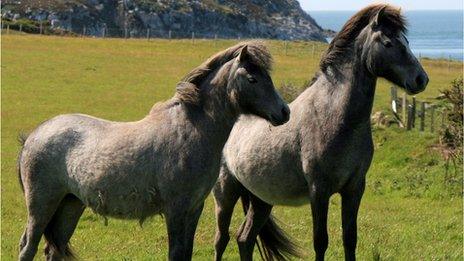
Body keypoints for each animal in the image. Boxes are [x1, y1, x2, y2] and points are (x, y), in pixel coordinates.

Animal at [18, 41, 290, 258]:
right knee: (27, 246)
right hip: (41, 205)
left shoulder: (194, 209)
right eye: (253, 78)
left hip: (70, 204)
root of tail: (33, 135)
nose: (284, 112)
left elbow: (186, 252)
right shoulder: (176, 210)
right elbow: (176, 253)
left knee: (54, 249)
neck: (191, 129)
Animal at [213, 4, 428, 260]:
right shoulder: (319, 191)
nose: (421, 79)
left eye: (406, 40)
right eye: (388, 42)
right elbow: (320, 241)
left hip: (261, 199)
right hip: (226, 193)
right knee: (222, 239)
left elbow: (350, 239)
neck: (334, 116)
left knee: (244, 239)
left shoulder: (354, 188)